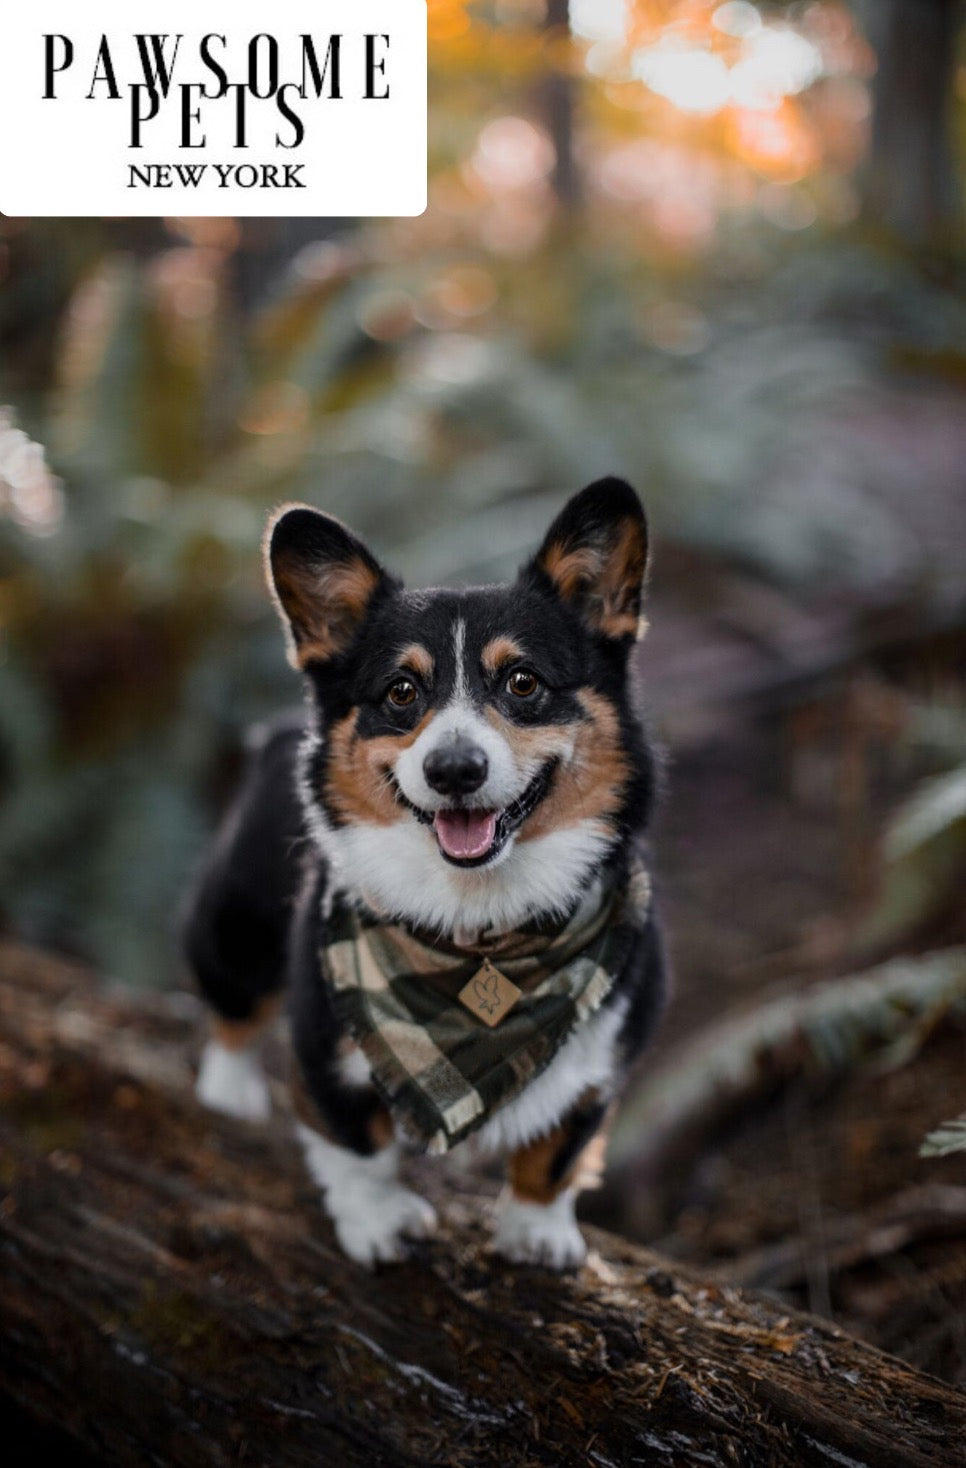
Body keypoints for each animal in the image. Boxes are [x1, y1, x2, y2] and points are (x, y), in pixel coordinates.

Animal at [182, 475, 663, 1268]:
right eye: (402, 692)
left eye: (523, 683)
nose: (454, 769)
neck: (478, 928)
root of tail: (279, 731)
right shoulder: (325, 1045)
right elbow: (357, 1145)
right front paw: (379, 1224)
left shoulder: (605, 1061)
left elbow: (558, 1150)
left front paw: (537, 1230)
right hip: (236, 916)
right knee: (230, 1001)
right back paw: (230, 1089)